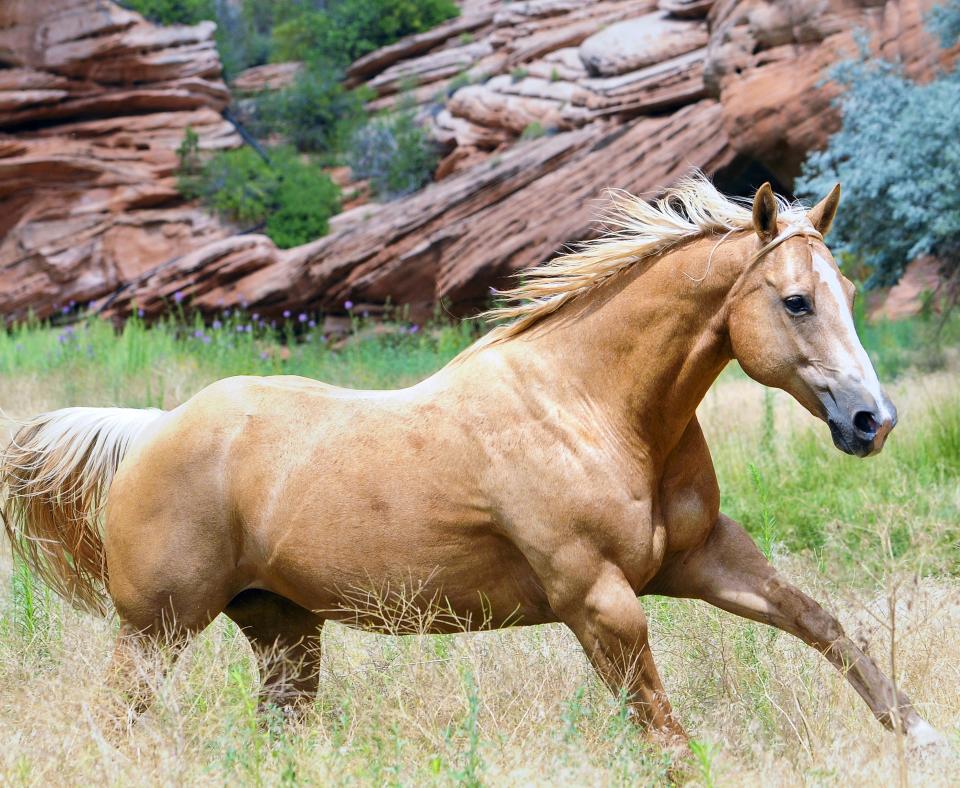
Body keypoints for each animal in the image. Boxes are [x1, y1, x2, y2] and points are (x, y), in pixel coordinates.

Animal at [1, 172, 944, 744]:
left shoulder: (707, 560)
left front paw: (923, 734)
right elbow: (664, 733)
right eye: (794, 301)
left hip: (283, 630)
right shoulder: (599, 601)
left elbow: (826, 625)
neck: (593, 409)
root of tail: (151, 429)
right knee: (115, 722)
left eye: (847, 292)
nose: (872, 420)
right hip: (155, 629)